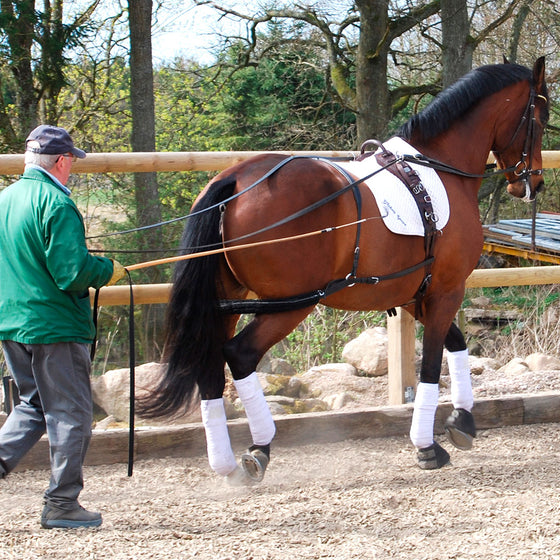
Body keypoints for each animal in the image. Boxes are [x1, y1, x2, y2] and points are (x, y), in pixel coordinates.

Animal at [138, 58, 548, 486]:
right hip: (291, 304)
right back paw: (259, 449)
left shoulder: (414, 294)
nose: (534, 183)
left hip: (228, 302)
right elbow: (434, 363)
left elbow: (456, 343)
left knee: (210, 368)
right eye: (541, 116)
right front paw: (427, 447)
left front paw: (463, 421)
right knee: (239, 354)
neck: (439, 169)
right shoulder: (446, 291)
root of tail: (233, 179)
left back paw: (227, 464)